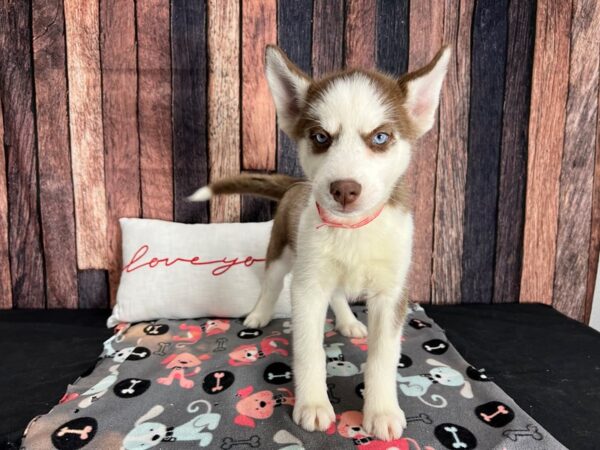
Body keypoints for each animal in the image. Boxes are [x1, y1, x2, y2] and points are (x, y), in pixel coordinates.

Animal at [189, 44, 450, 438]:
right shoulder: (307, 286)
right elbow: (309, 348)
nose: (344, 189)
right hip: (281, 250)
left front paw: (382, 410)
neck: (353, 229)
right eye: (320, 137)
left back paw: (348, 321)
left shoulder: (391, 292)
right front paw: (313, 403)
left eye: (380, 137)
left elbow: (384, 356)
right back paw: (259, 314)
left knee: (339, 294)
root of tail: (295, 184)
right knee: (271, 283)